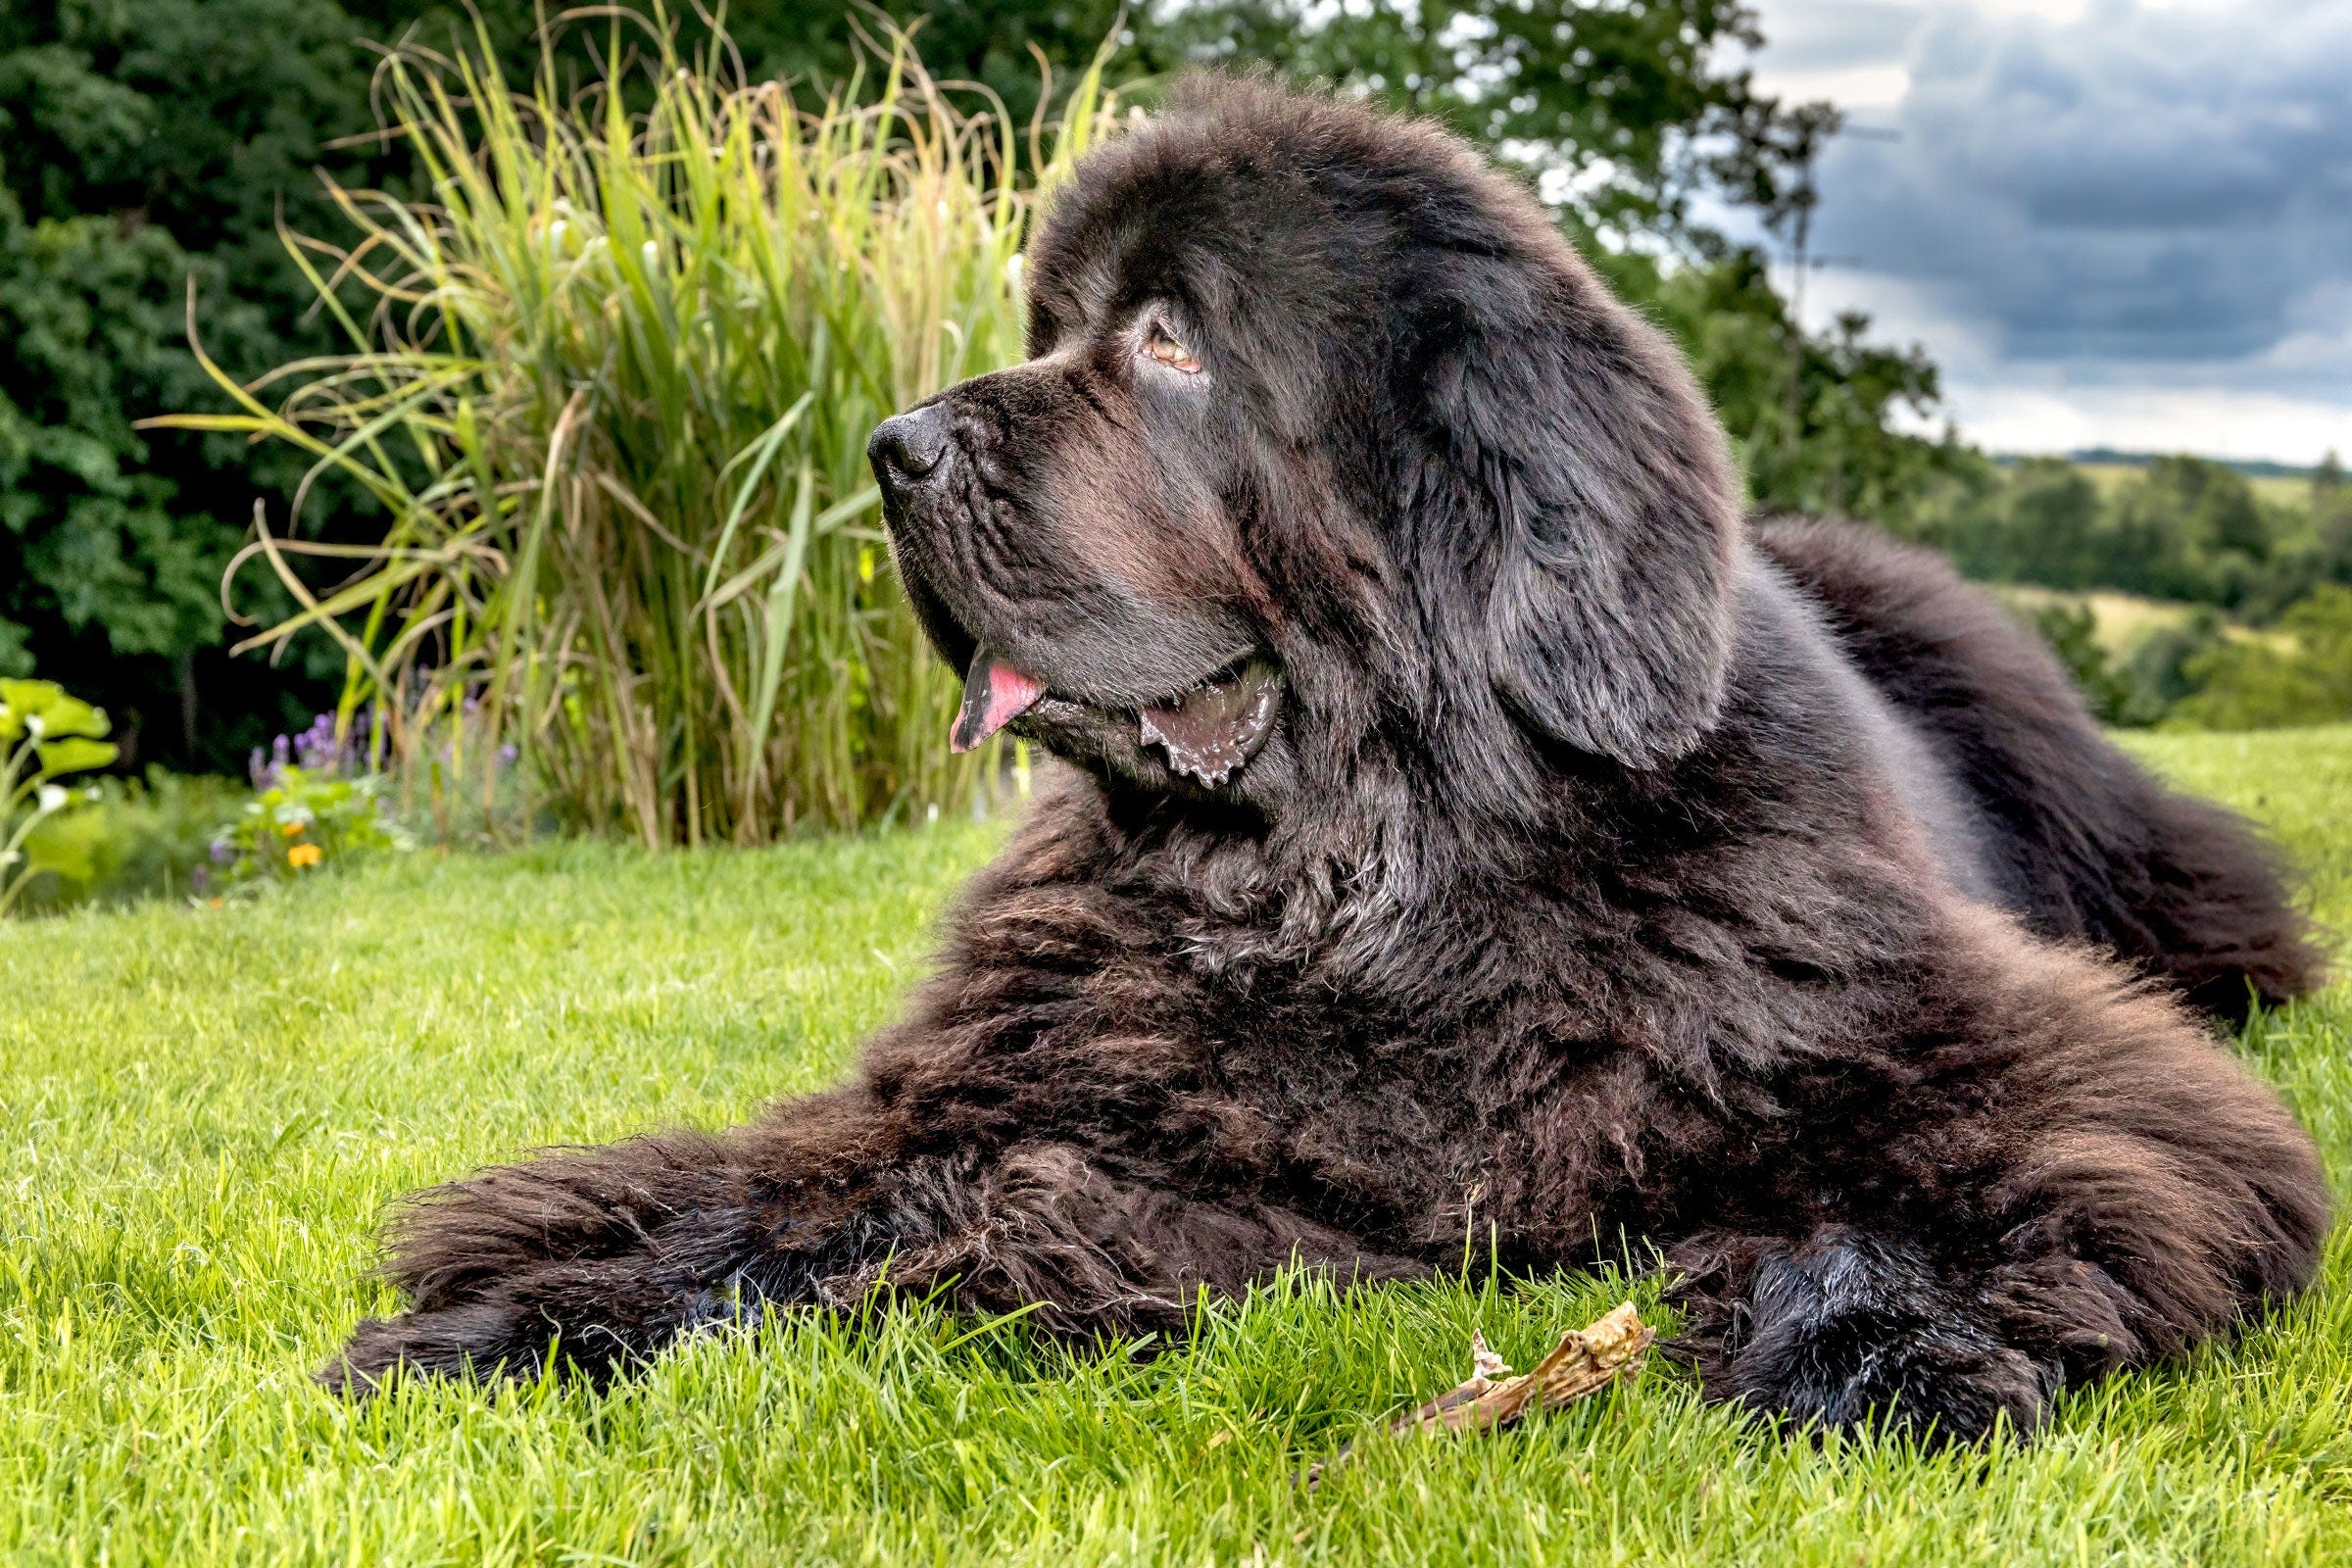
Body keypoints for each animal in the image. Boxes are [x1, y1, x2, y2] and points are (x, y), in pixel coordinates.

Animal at [331, 79, 2332, 1439]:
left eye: (1168, 342)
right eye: (1056, 327)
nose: (893, 446)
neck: (1372, 882)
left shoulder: (1994, 1057)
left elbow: (1953, 1181)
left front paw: (1872, 1350)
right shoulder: (1061, 1115)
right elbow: (796, 1200)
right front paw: (520, 1318)